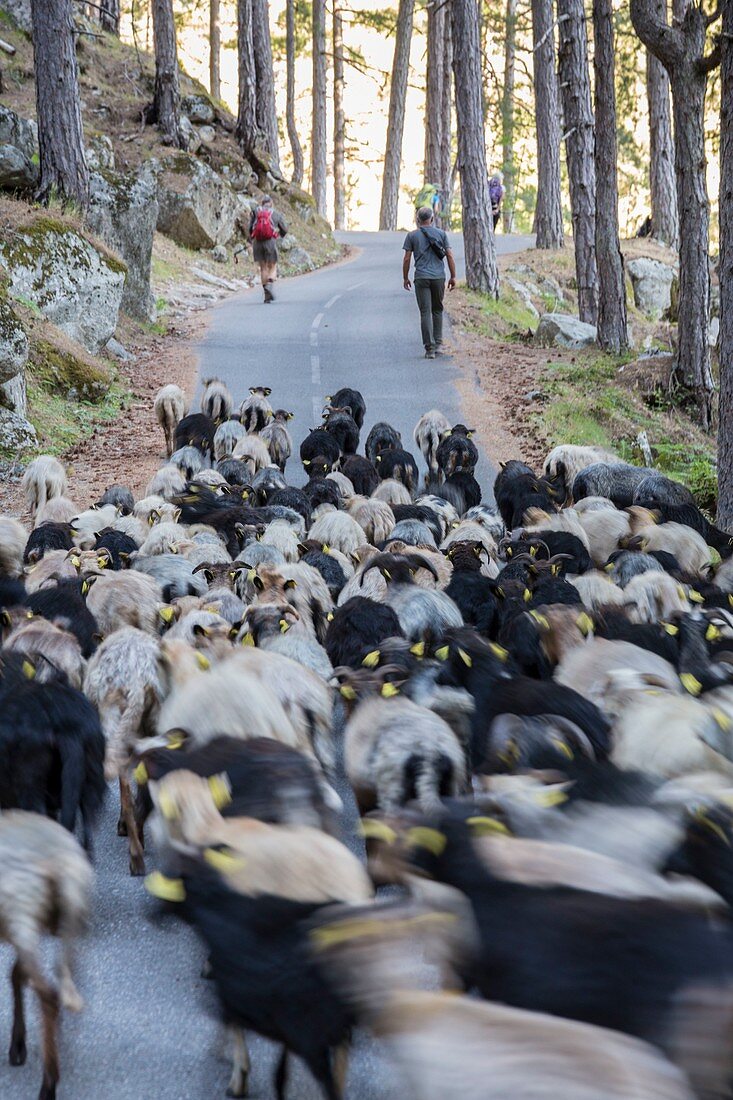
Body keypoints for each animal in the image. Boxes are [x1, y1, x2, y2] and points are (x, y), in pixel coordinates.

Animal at [0, 814, 93, 1100]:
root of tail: (58, 864)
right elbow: (17, 973)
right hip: (69, 920)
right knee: (58, 977)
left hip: (21, 914)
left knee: (47, 993)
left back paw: (47, 1084)